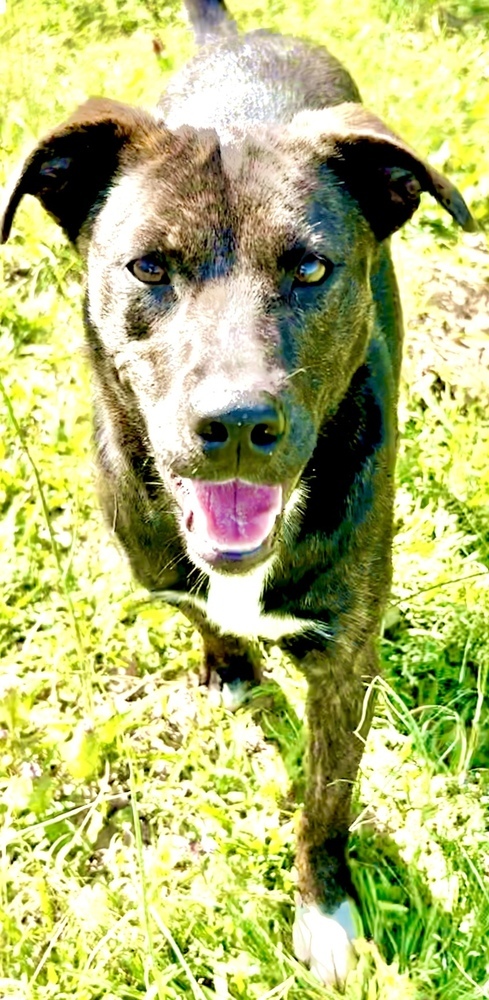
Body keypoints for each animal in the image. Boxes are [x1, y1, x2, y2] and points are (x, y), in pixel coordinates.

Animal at [0, 0, 472, 984]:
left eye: (310, 269)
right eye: (148, 268)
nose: (239, 424)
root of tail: (236, 36)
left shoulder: (345, 663)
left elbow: (325, 802)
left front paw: (324, 911)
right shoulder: (163, 567)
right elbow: (203, 616)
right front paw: (229, 669)